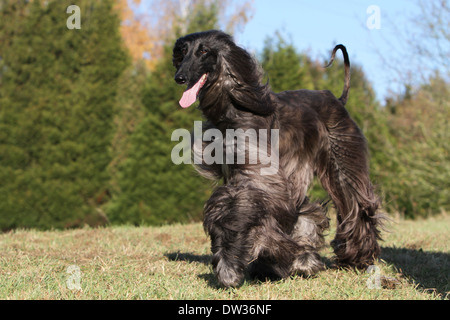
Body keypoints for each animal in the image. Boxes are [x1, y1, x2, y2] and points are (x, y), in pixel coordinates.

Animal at [172, 30, 384, 288]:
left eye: (203, 51)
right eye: (182, 52)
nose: (179, 77)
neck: (235, 109)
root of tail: (336, 99)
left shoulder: (259, 176)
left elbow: (238, 212)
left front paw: (231, 268)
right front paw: (271, 261)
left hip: (342, 158)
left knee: (356, 204)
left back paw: (358, 257)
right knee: (306, 208)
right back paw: (305, 260)